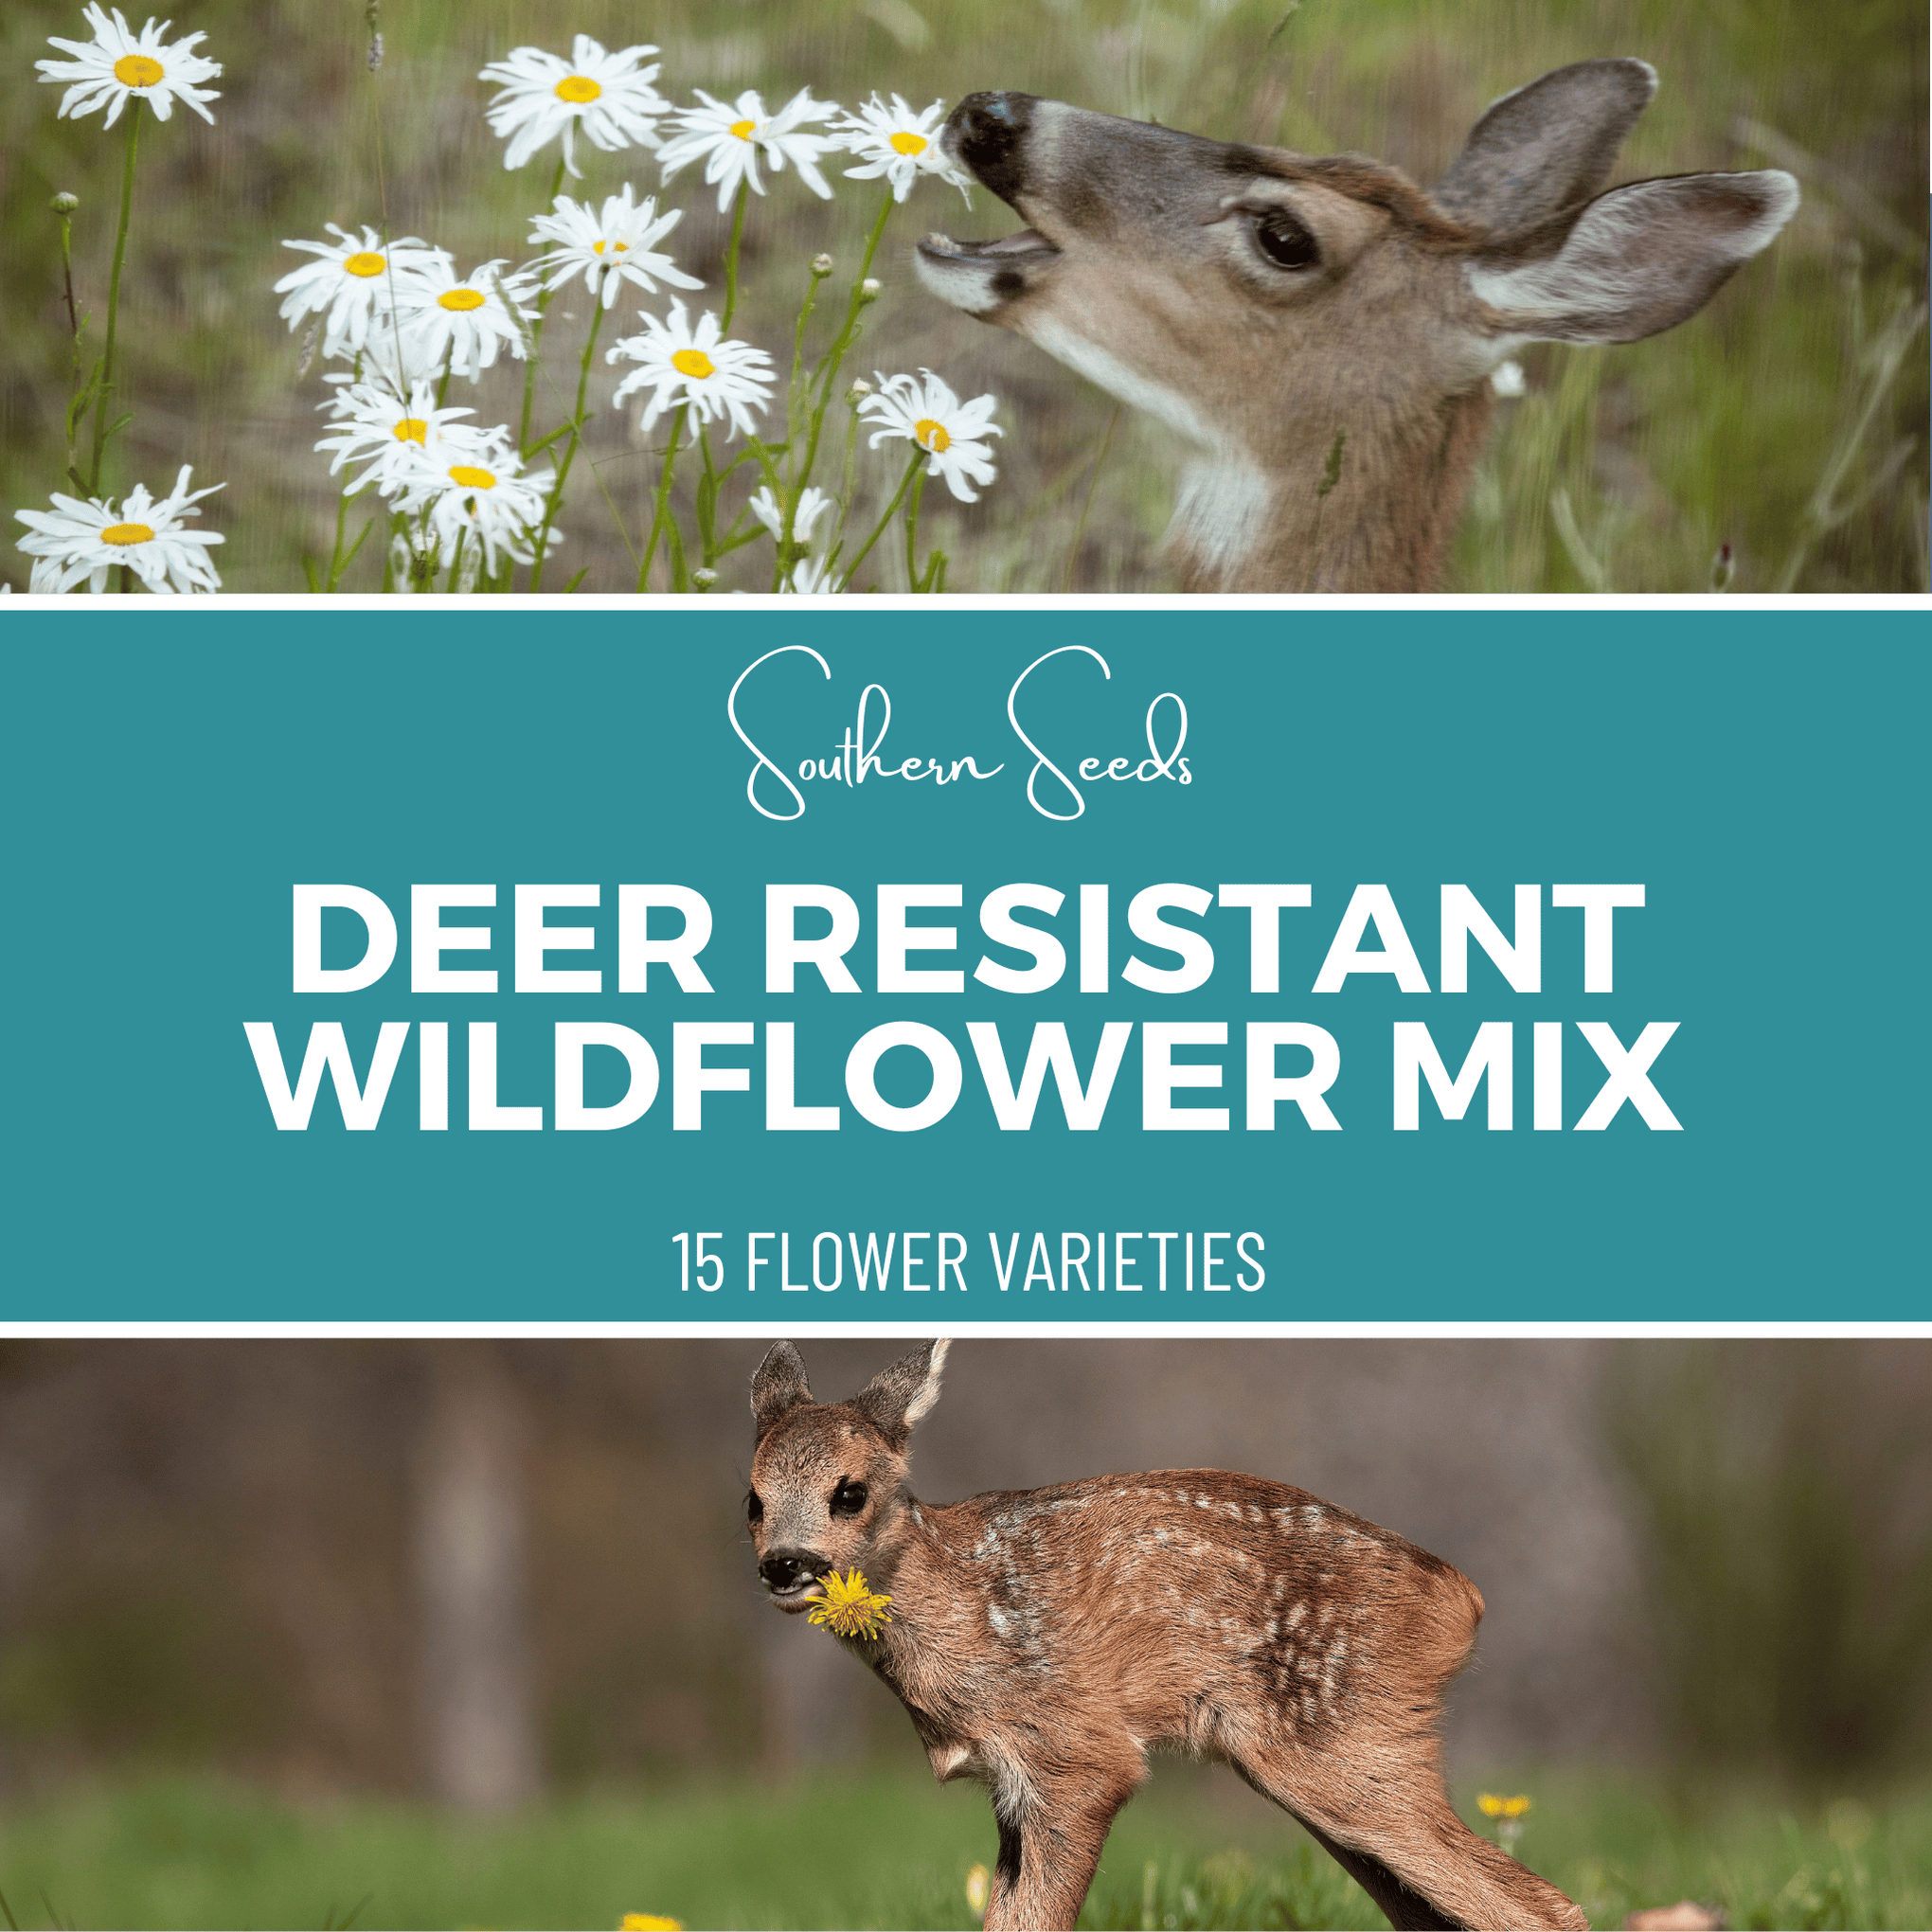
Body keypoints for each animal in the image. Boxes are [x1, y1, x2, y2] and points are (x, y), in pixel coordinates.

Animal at [746, 1339, 1586, 1932]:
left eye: (850, 1493)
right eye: (753, 1499)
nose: (783, 1564)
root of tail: (1460, 1598)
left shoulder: (1078, 1754)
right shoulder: (1012, 1785)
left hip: (1346, 1745)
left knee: (1544, 1908)